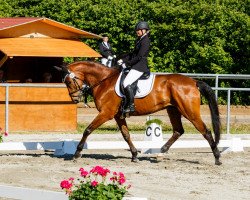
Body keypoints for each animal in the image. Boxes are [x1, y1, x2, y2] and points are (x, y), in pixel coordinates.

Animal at [55, 61, 222, 166]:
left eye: (68, 82)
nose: (75, 99)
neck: (104, 81)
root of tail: (193, 82)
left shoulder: (106, 113)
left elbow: (88, 130)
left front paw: (77, 154)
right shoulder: (118, 115)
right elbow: (126, 135)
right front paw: (135, 155)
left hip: (189, 112)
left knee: (206, 131)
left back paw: (217, 158)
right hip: (173, 110)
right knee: (178, 130)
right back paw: (161, 152)